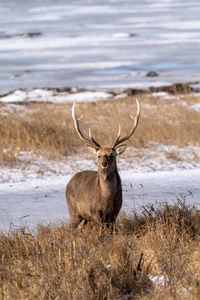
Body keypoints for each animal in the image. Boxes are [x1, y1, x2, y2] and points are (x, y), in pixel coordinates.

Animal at [65, 98, 141, 227]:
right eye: (98, 156)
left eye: (112, 155)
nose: (104, 164)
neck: (107, 200)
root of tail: (69, 182)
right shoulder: (95, 213)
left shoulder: (115, 213)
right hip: (73, 211)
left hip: (84, 218)